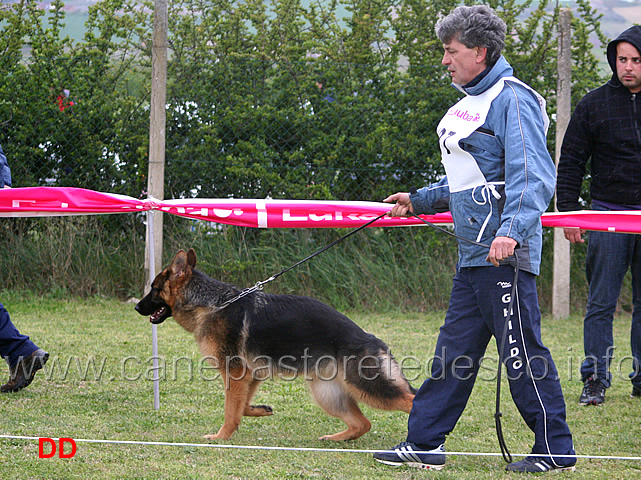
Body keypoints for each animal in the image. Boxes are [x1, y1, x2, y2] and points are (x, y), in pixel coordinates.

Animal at [136, 249, 416, 440]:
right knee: (363, 423)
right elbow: (240, 408)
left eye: (154, 289)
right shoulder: (250, 375)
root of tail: (372, 338)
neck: (212, 304)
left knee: (411, 400)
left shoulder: (235, 373)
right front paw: (259, 410)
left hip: (367, 386)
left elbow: (230, 410)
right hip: (327, 392)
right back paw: (336, 438)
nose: (137, 307)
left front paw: (221, 437)